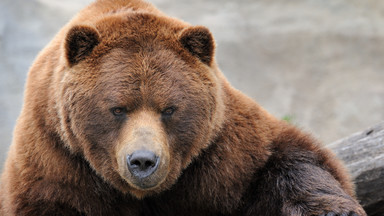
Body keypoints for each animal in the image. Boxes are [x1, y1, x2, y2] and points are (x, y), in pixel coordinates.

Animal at [0, 0, 368, 216]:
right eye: (117, 109)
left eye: (169, 109)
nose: (143, 161)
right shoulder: (56, 161)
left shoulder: (222, 153)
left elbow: (288, 159)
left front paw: (333, 210)